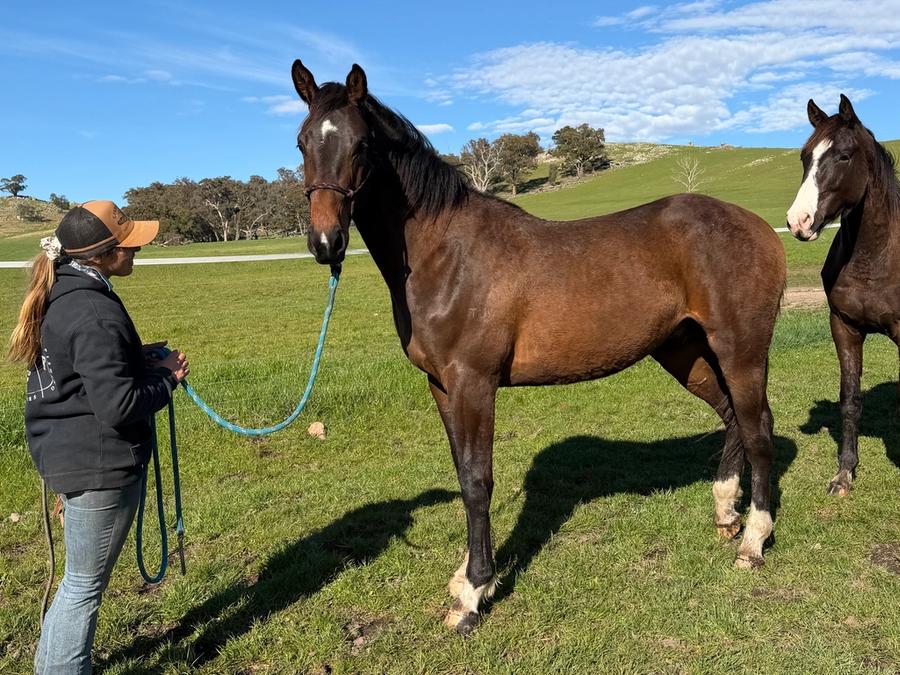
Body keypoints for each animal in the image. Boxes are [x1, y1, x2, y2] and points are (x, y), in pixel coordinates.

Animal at [291, 60, 786, 634]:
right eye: (302, 141)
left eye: (362, 144)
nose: (326, 242)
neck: (447, 254)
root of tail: (760, 228)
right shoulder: (441, 386)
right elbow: (462, 474)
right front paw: (465, 577)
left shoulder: (473, 384)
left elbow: (478, 480)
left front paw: (474, 592)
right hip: (684, 353)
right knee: (731, 417)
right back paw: (726, 512)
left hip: (740, 351)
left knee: (757, 428)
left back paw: (753, 541)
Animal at [786, 94, 900, 496]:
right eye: (805, 156)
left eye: (844, 156)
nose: (798, 221)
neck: (875, 257)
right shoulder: (845, 327)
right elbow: (849, 400)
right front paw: (845, 473)